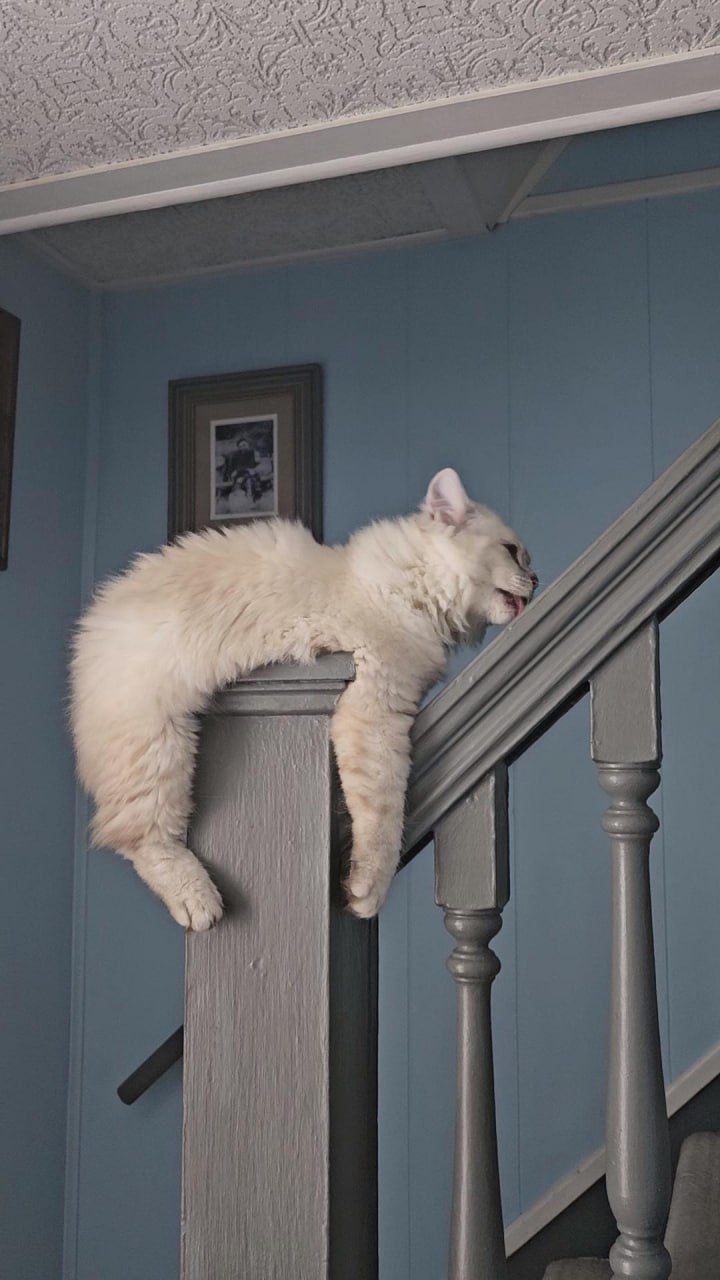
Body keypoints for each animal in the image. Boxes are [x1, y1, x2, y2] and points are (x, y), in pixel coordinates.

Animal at [70, 468, 536, 929]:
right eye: (513, 552)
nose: (534, 579)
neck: (413, 585)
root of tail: (90, 630)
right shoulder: (376, 707)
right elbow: (383, 818)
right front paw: (366, 893)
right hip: (156, 749)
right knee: (138, 837)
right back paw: (198, 903)